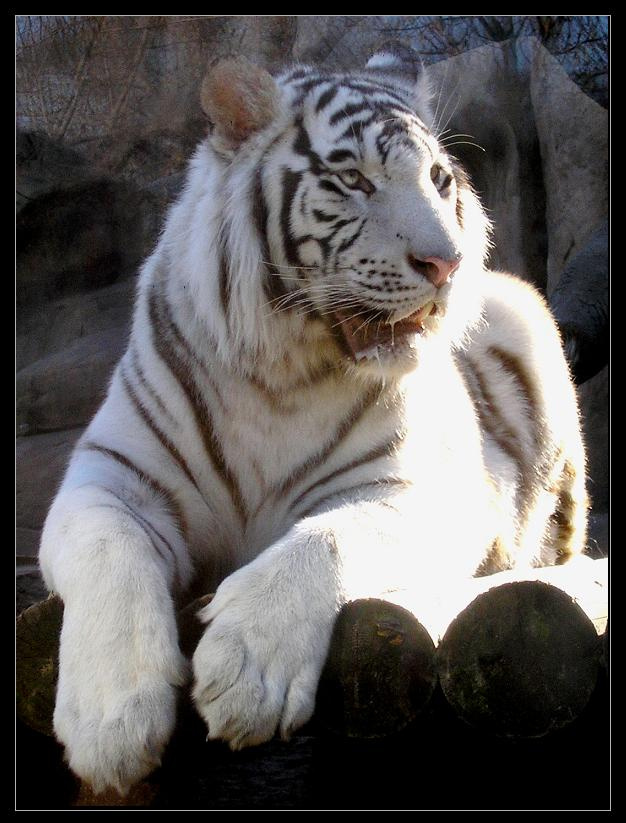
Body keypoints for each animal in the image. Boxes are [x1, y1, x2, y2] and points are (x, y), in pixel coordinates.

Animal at [38, 42, 588, 795]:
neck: (278, 376)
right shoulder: (108, 479)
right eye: (353, 179)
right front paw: (110, 722)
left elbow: (322, 541)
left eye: (440, 179)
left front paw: (246, 675)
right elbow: (110, 552)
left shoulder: (419, 493)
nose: (445, 265)